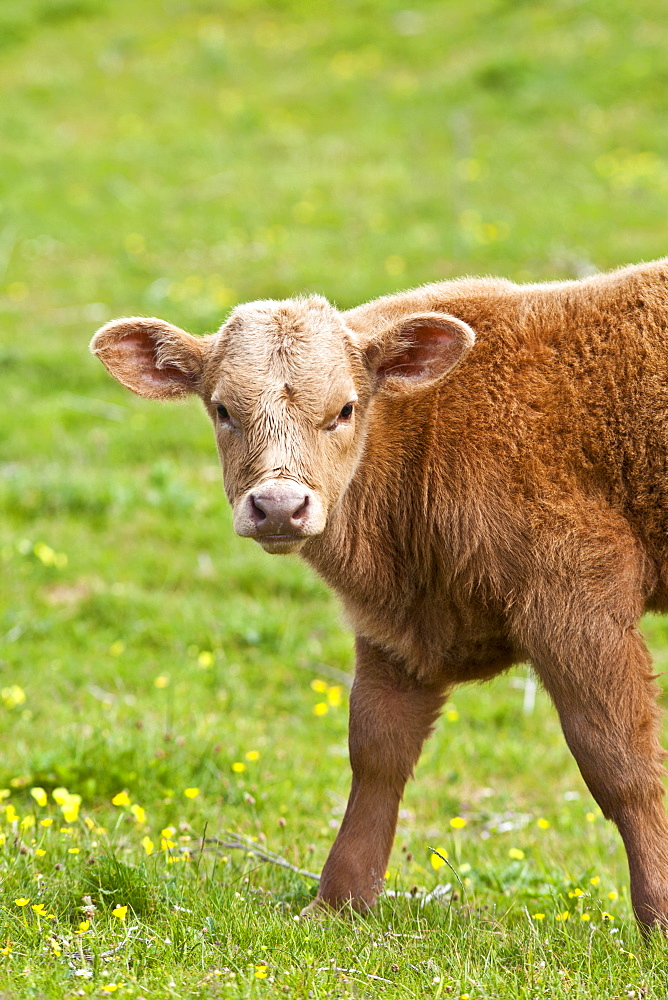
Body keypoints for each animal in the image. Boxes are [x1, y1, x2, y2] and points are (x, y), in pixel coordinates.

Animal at [90, 260, 668, 928]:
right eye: (223, 409)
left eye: (345, 408)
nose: (279, 506)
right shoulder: (395, 629)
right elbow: (377, 753)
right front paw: (337, 902)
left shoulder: (578, 600)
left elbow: (621, 764)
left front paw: (660, 912)